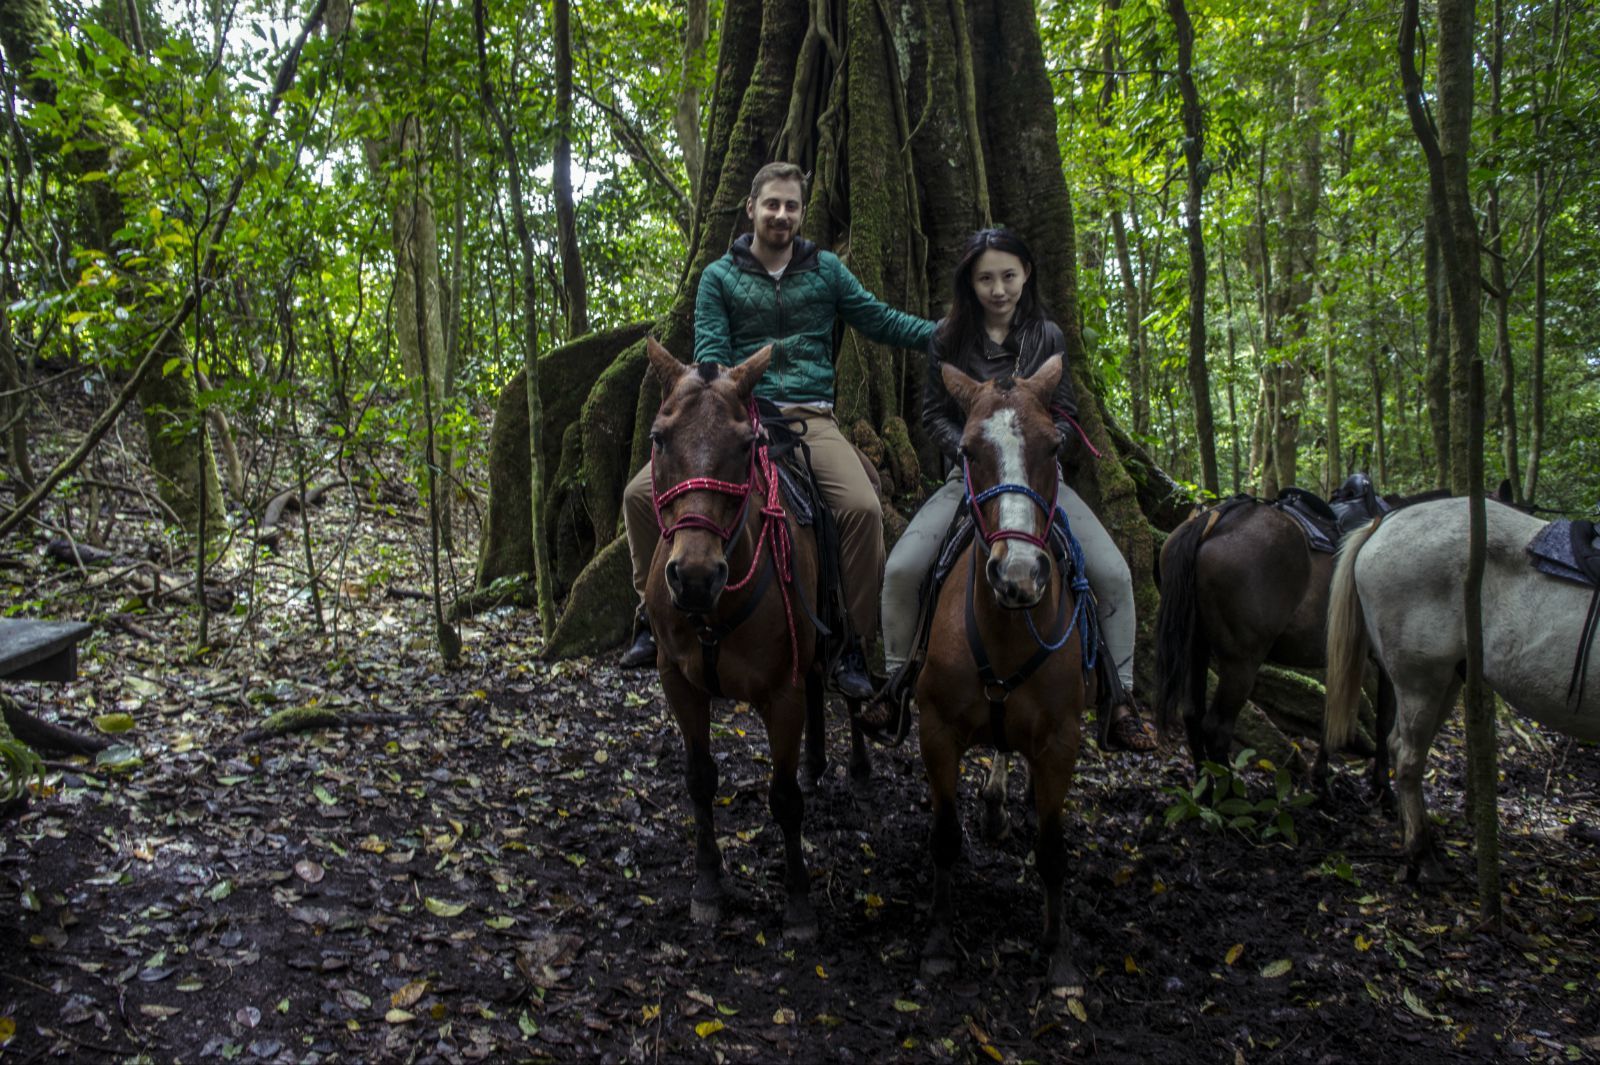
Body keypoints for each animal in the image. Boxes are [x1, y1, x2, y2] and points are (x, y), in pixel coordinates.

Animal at [636, 337, 870, 940]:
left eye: (748, 446)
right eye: (658, 438)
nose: (695, 577)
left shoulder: (780, 694)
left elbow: (783, 799)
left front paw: (799, 901)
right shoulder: (679, 683)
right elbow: (699, 780)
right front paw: (707, 886)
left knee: (852, 683)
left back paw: (858, 766)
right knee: (817, 681)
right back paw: (816, 764)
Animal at [915, 355, 1088, 985]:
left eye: (1055, 445)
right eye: (967, 451)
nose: (1018, 574)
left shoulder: (1061, 738)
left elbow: (1054, 850)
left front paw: (1059, 954)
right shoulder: (936, 728)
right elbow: (943, 838)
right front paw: (939, 940)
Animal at [1324, 498, 1600, 876]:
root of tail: (1386, 522)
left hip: (1448, 679)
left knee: (1401, 748)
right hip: (1421, 678)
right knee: (1407, 756)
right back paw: (1421, 852)